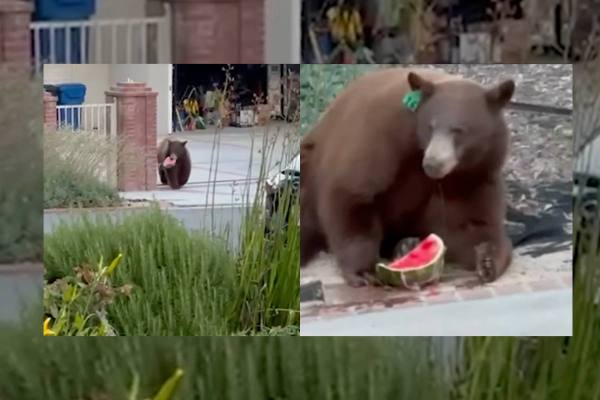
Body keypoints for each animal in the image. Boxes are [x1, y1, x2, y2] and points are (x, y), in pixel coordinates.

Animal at [300, 69, 516, 288]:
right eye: (431, 126)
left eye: (459, 130)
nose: (433, 163)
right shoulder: (379, 140)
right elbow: (352, 196)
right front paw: (364, 271)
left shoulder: (476, 175)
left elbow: (472, 223)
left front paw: (487, 261)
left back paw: (406, 244)